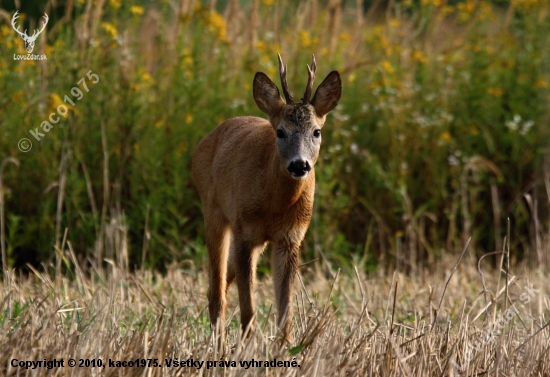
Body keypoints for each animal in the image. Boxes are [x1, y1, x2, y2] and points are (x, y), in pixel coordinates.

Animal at [192, 54, 342, 340]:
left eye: (316, 132)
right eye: (280, 132)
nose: (299, 165)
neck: (276, 204)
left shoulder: (290, 238)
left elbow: (286, 316)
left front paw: (285, 347)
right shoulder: (244, 232)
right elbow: (249, 311)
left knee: (218, 286)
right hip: (213, 211)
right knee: (216, 291)